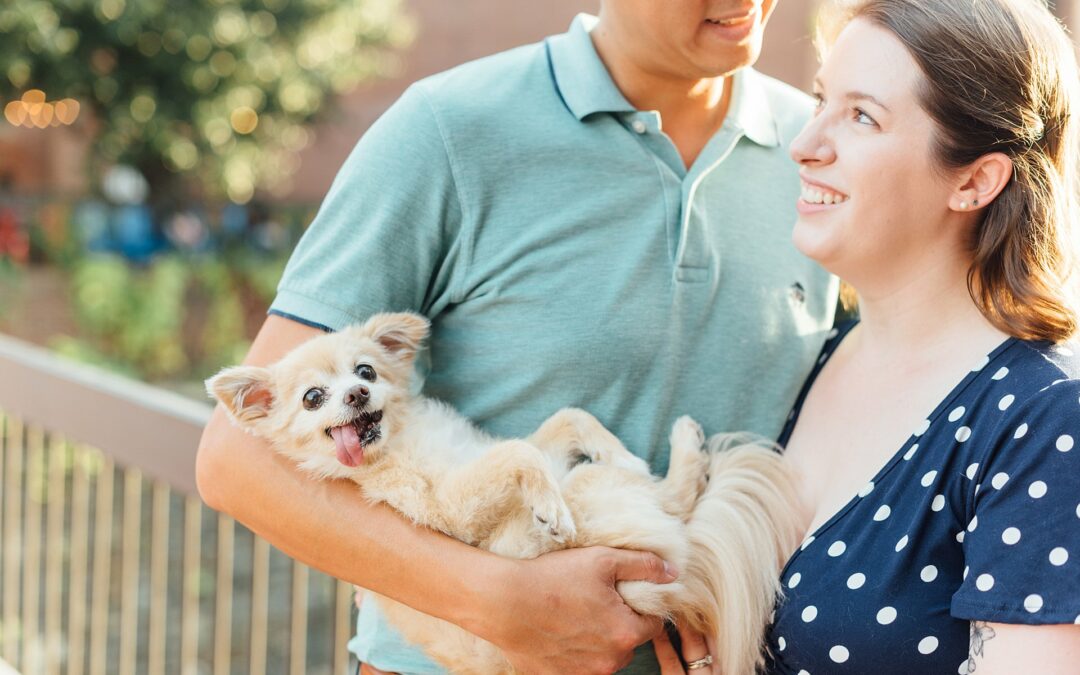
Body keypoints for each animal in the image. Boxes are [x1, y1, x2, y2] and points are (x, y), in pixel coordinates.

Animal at [208, 313, 803, 669]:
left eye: (366, 371)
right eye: (313, 398)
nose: (356, 394)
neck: (402, 441)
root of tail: (651, 591)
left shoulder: (508, 451)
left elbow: (567, 419)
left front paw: (619, 449)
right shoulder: (452, 510)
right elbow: (520, 455)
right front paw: (550, 505)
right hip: (592, 497)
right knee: (673, 501)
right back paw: (681, 447)